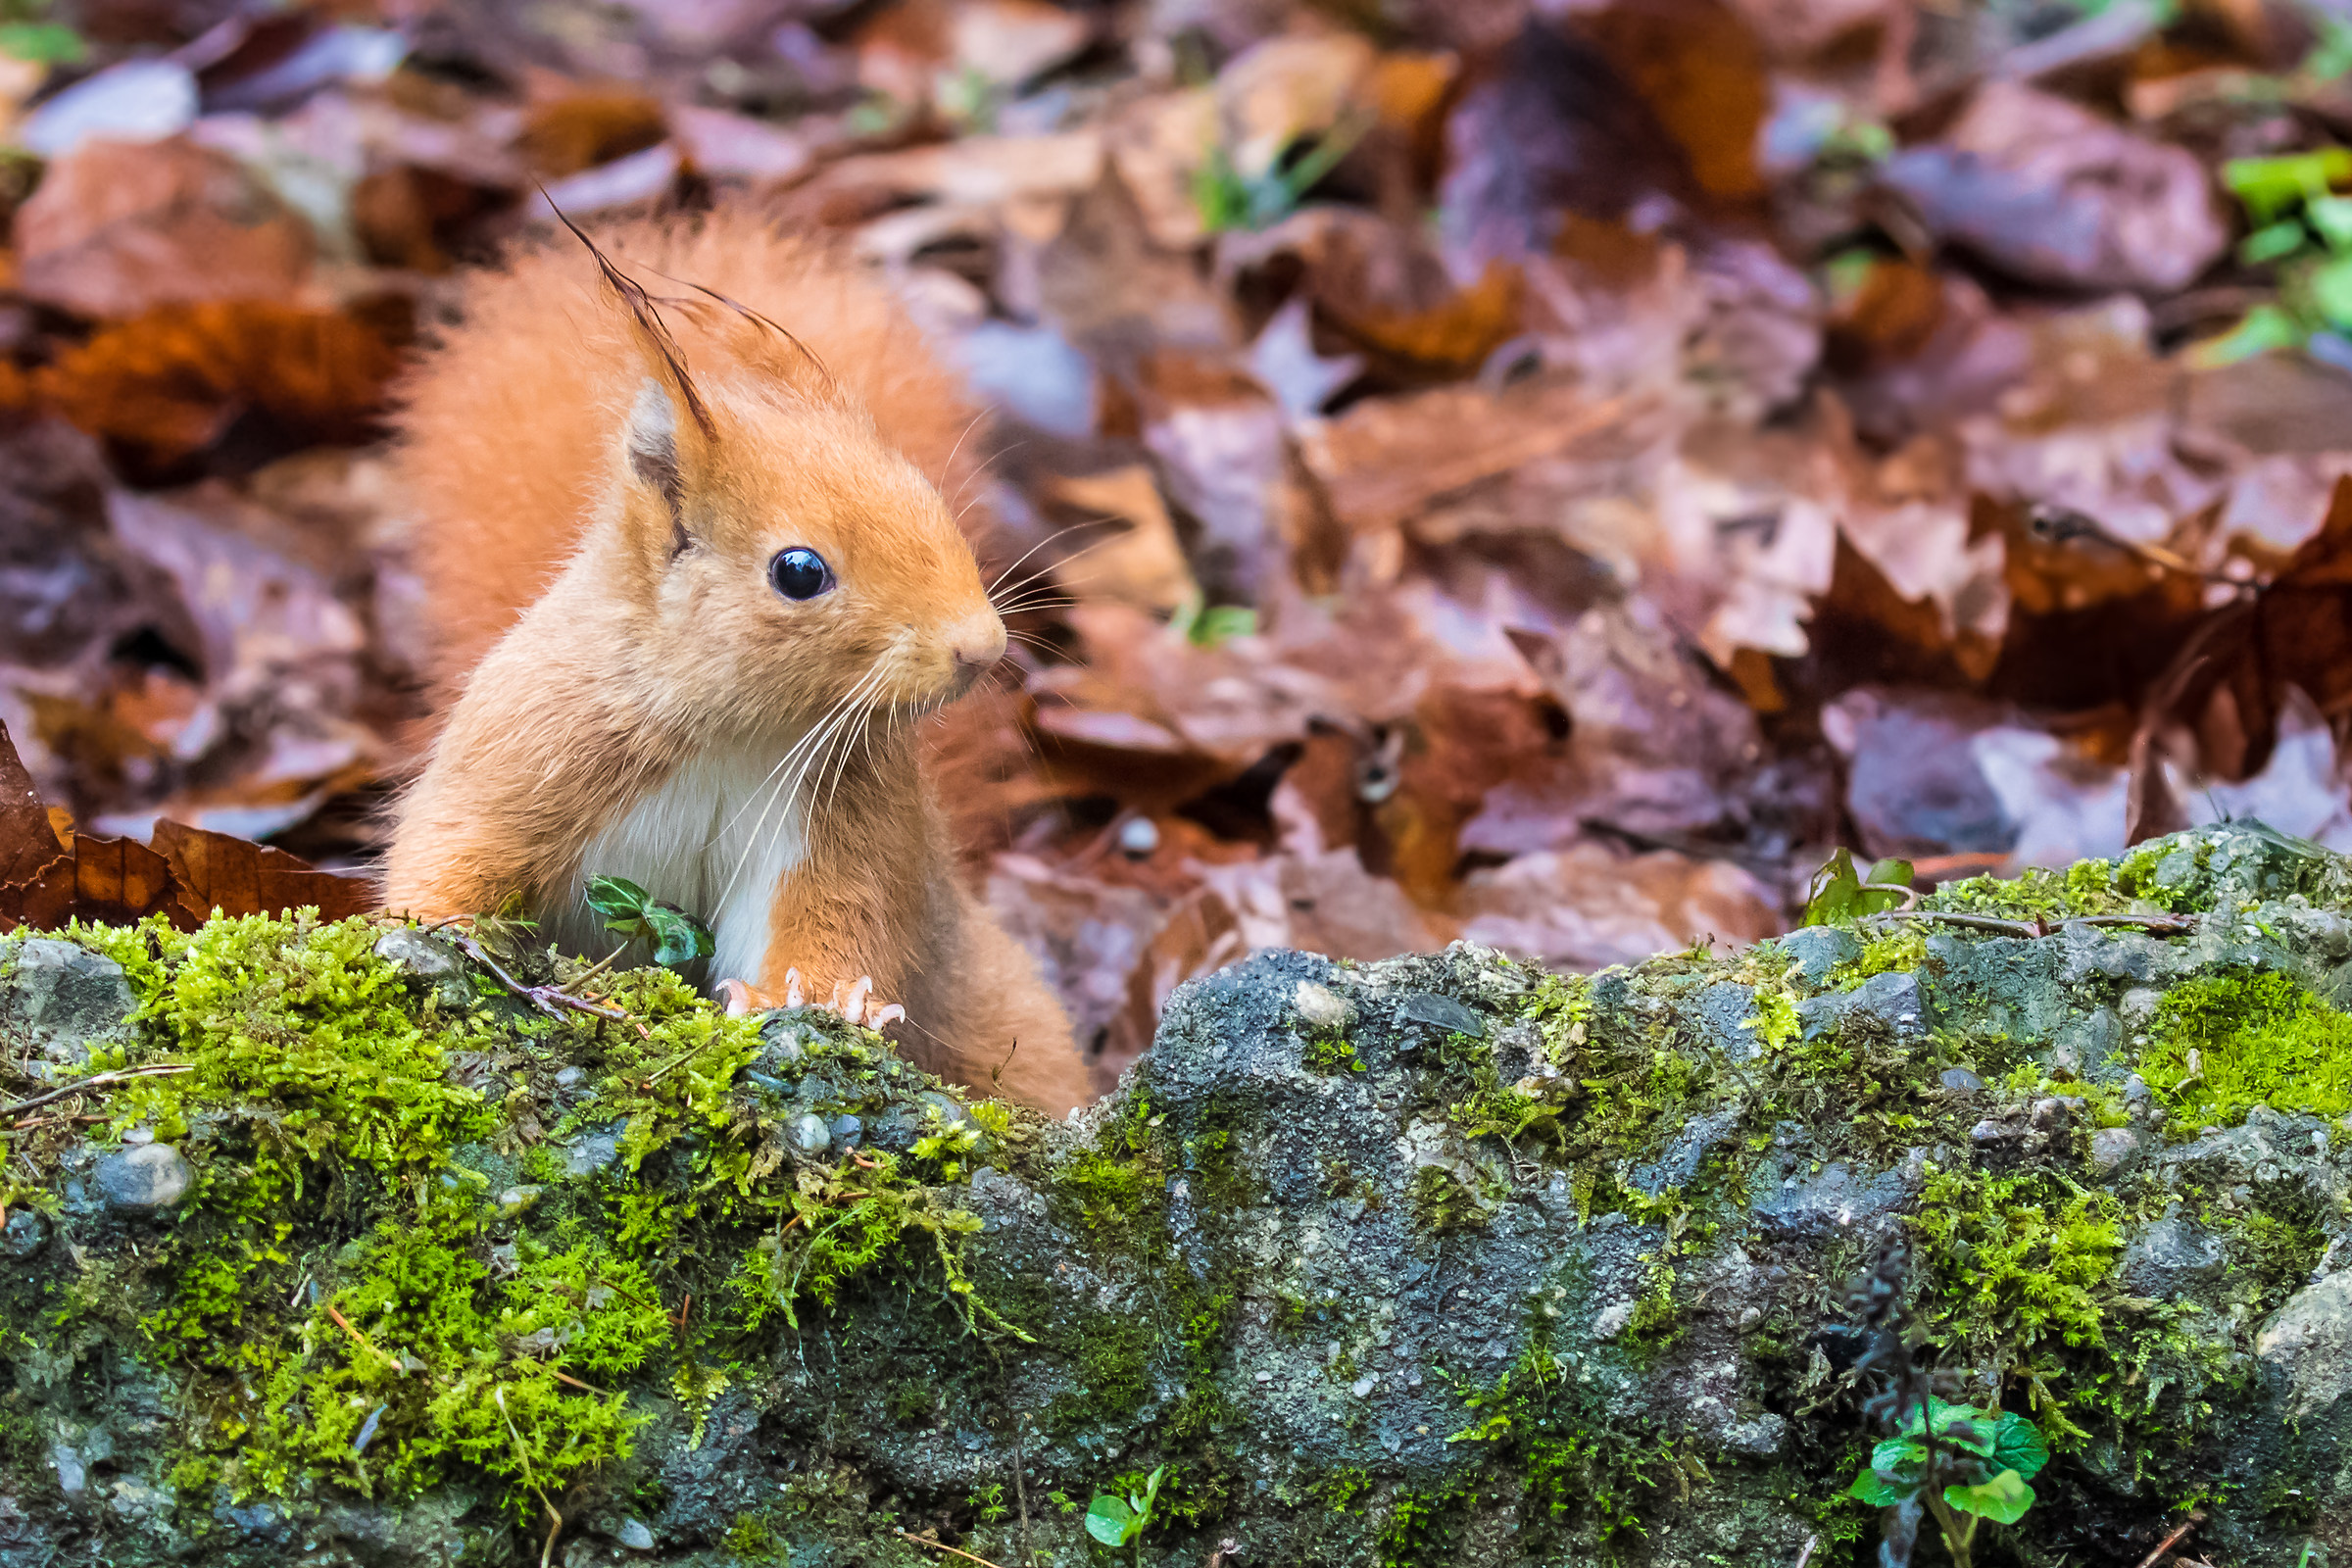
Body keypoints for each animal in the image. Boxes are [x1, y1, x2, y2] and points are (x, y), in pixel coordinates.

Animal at [380, 207, 1091, 1115]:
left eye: (928, 499)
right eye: (799, 572)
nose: (982, 647)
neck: (734, 734)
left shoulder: (844, 815)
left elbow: (834, 915)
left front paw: (823, 1001)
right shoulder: (531, 752)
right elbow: (453, 845)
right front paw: (438, 938)